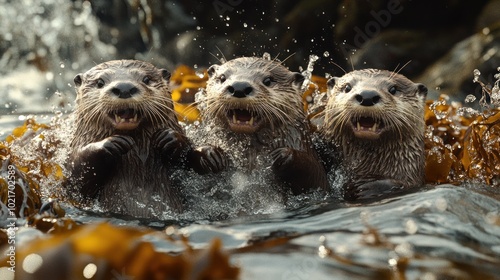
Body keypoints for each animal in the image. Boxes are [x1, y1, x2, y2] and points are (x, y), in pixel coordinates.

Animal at [65, 59, 226, 219]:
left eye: (146, 79)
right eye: (100, 82)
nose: (124, 88)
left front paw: (176, 140)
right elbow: (74, 180)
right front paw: (112, 143)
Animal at [197, 56, 330, 197]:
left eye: (268, 80)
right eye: (222, 78)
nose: (239, 87)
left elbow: (315, 173)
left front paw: (280, 155)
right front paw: (210, 153)